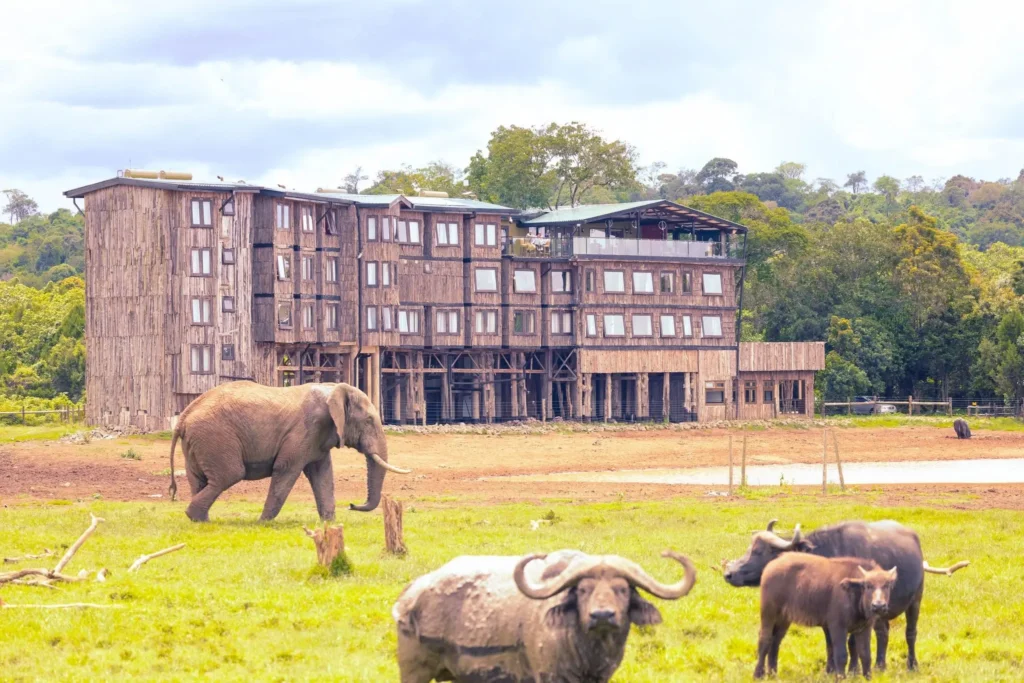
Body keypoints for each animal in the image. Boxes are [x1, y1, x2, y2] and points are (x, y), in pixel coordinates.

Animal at [168, 381, 410, 522]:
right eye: (368, 420)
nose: (352, 505)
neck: (333, 389)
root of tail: (185, 415)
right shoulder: (306, 430)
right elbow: (286, 470)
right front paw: (263, 523)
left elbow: (322, 475)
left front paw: (329, 523)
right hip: (215, 436)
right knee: (229, 475)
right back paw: (195, 516)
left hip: (198, 442)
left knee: (199, 479)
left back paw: (200, 520)